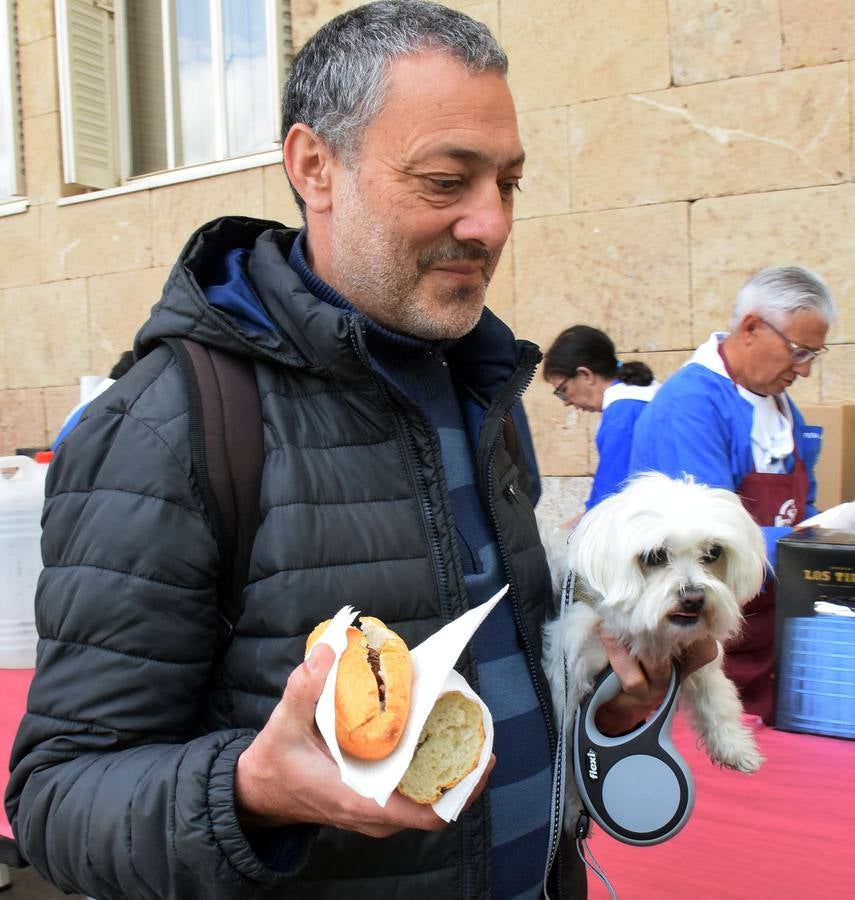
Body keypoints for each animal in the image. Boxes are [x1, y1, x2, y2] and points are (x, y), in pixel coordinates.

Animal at [544, 472, 772, 828]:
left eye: (713, 553)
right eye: (654, 556)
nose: (694, 597)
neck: (649, 631)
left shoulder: (699, 656)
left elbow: (717, 700)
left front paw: (734, 746)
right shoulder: (570, 675)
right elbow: (566, 753)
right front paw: (569, 805)